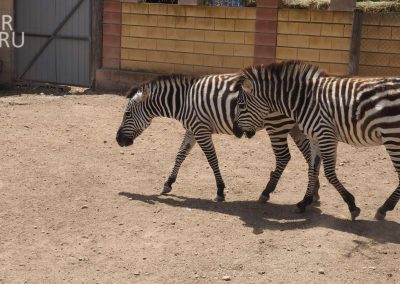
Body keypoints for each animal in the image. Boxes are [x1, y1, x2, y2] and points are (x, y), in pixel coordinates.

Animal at [115, 73, 322, 202]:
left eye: (127, 114)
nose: (118, 140)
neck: (183, 102)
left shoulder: (201, 130)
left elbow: (212, 159)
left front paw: (220, 191)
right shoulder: (192, 130)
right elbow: (180, 155)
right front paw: (168, 183)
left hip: (276, 126)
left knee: (284, 157)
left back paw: (266, 192)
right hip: (295, 126)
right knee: (309, 156)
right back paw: (314, 192)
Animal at [233, 59, 400, 220]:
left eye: (241, 105)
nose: (235, 131)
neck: (304, 101)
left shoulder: (325, 135)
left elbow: (329, 173)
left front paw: (351, 205)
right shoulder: (315, 138)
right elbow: (312, 169)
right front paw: (304, 202)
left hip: (392, 136)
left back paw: (384, 208)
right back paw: (385, 208)